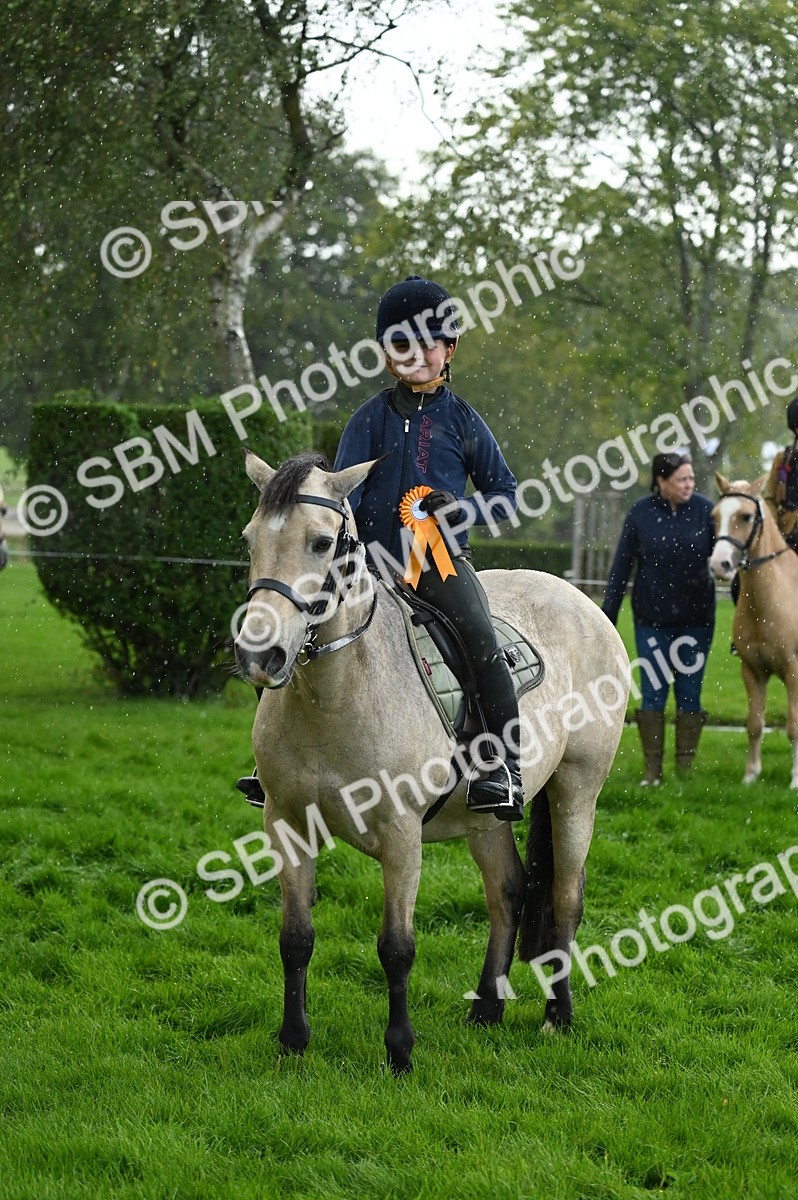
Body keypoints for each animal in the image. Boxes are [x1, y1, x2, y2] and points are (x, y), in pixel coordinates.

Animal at [233, 449, 630, 1072]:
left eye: (321, 543)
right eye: (250, 540)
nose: (259, 654)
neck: (339, 691)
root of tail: (586, 605)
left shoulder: (401, 835)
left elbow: (396, 948)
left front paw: (400, 1051)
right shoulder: (286, 822)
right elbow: (295, 939)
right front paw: (293, 1042)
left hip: (577, 792)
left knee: (565, 899)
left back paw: (557, 1016)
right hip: (485, 819)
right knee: (509, 892)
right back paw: (487, 1008)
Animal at [709, 473, 798, 788]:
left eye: (746, 516)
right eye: (714, 517)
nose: (718, 564)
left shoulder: (794, 671)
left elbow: (794, 725)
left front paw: (795, 779)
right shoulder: (752, 670)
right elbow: (754, 724)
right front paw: (751, 775)